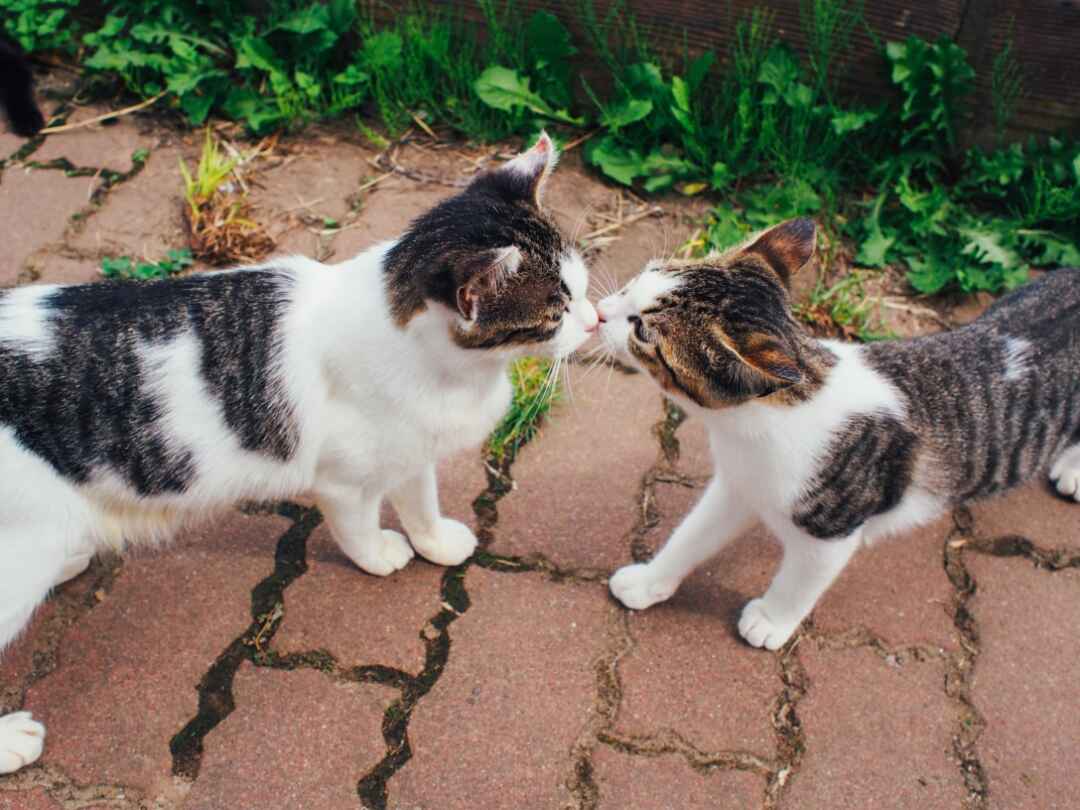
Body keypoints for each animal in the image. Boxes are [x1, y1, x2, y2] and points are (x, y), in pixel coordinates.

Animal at [0, 133, 600, 773]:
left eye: (583, 286)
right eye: (556, 311)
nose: (595, 321)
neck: (455, 373)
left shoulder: (413, 449)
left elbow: (421, 501)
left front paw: (435, 541)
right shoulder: (345, 481)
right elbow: (359, 528)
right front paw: (381, 555)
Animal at [600, 222, 1080, 652]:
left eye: (642, 330)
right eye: (639, 277)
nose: (601, 312)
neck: (751, 429)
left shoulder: (831, 533)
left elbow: (799, 582)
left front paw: (771, 620)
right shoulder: (740, 485)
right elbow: (693, 534)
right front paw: (650, 580)